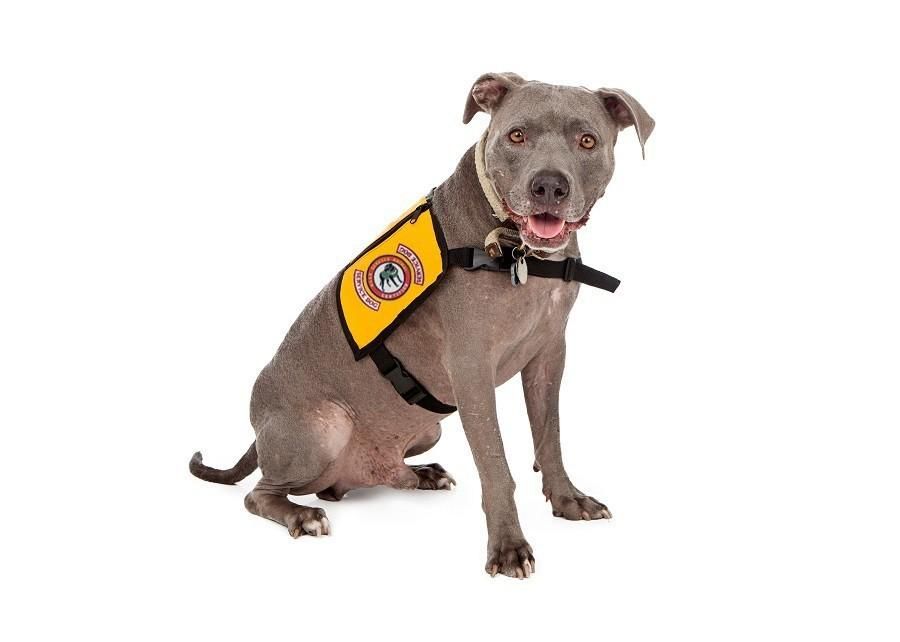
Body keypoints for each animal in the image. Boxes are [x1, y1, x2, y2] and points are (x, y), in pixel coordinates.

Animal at [190, 72, 652, 576]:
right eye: (516, 135)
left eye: (587, 141)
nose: (549, 186)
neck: (519, 252)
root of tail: (258, 433)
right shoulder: (471, 370)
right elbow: (496, 463)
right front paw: (508, 546)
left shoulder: (550, 356)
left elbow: (550, 436)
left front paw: (569, 500)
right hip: (324, 426)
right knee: (260, 494)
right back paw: (302, 515)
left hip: (426, 431)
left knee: (362, 479)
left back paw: (418, 474)